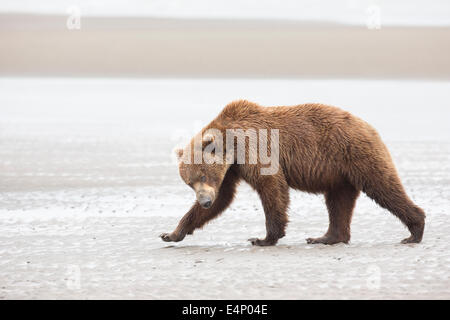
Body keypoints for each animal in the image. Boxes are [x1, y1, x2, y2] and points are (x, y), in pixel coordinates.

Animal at [159, 101, 426, 246]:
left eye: (203, 175)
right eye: (189, 183)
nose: (204, 200)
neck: (232, 144)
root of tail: (368, 125)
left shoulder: (255, 149)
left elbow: (271, 187)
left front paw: (264, 238)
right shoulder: (232, 169)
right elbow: (223, 198)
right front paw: (171, 233)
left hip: (356, 154)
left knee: (383, 186)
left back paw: (415, 230)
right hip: (339, 173)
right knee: (338, 202)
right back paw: (326, 237)